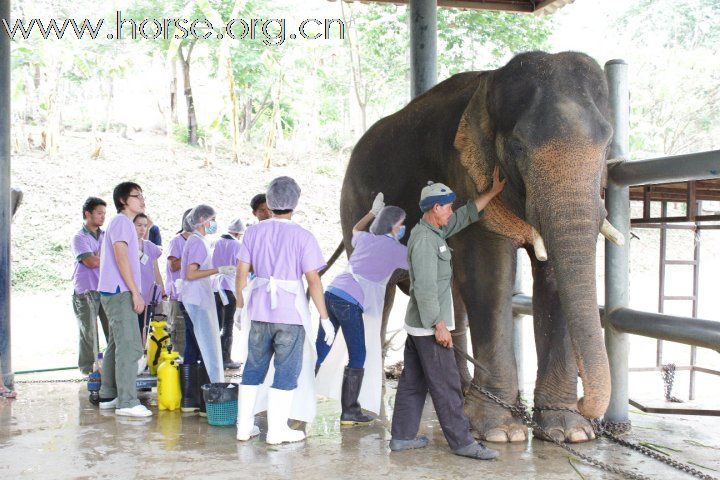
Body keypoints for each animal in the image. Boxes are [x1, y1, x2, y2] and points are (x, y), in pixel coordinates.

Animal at [338, 50, 624, 444]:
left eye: (608, 146)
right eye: (518, 147)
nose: (586, 406)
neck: (489, 83)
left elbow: (551, 279)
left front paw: (570, 432)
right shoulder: (462, 174)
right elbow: (488, 274)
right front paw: (502, 432)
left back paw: (457, 389)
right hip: (353, 210)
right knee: (379, 295)